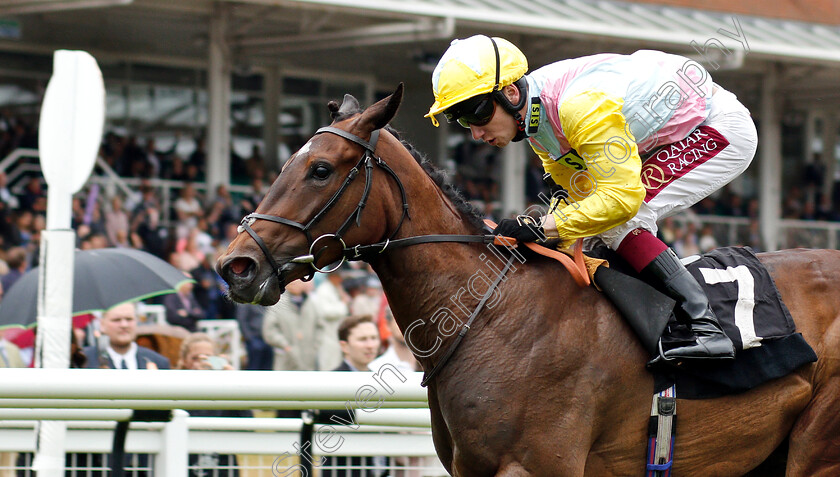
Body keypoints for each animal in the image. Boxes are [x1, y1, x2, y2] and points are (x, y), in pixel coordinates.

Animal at [217, 83, 840, 474]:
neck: (491, 315)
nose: (235, 265)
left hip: (816, 448)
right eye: (284, 164)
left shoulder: (538, 464)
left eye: (320, 170)